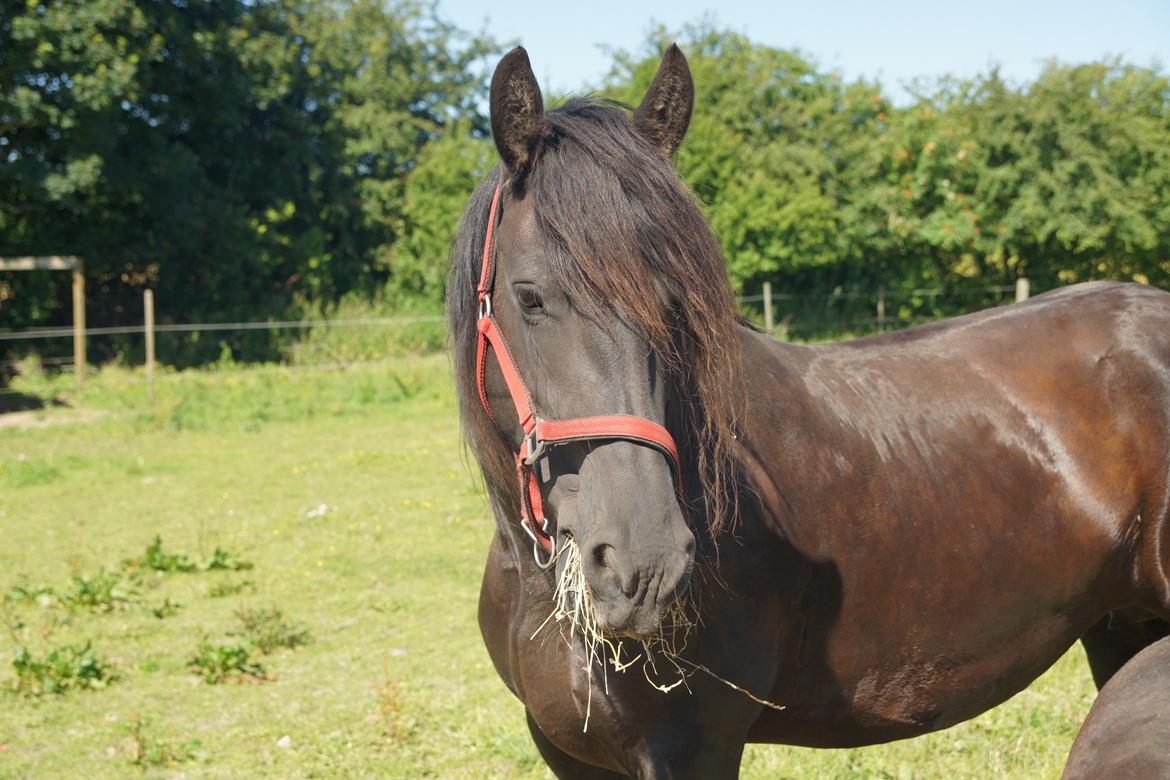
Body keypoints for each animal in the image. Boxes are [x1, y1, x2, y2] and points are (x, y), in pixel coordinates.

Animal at [444, 44, 1170, 780]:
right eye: (530, 297)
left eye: (676, 304)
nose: (644, 567)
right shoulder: (563, 748)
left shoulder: (694, 746)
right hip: (1124, 628)